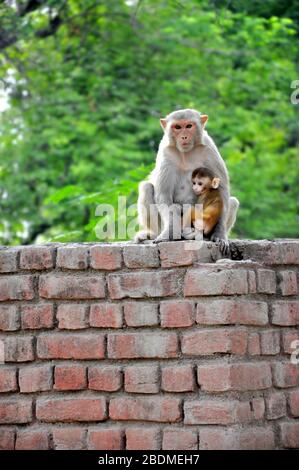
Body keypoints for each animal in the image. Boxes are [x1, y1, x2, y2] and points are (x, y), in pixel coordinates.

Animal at [135, 108, 240, 253]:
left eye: (189, 126)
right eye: (178, 127)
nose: (184, 136)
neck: (186, 153)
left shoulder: (209, 149)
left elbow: (222, 189)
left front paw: (219, 234)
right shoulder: (165, 152)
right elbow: (163, 194)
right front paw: (170, 231)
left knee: (232, 201)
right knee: (147, 187)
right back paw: (153, 234)